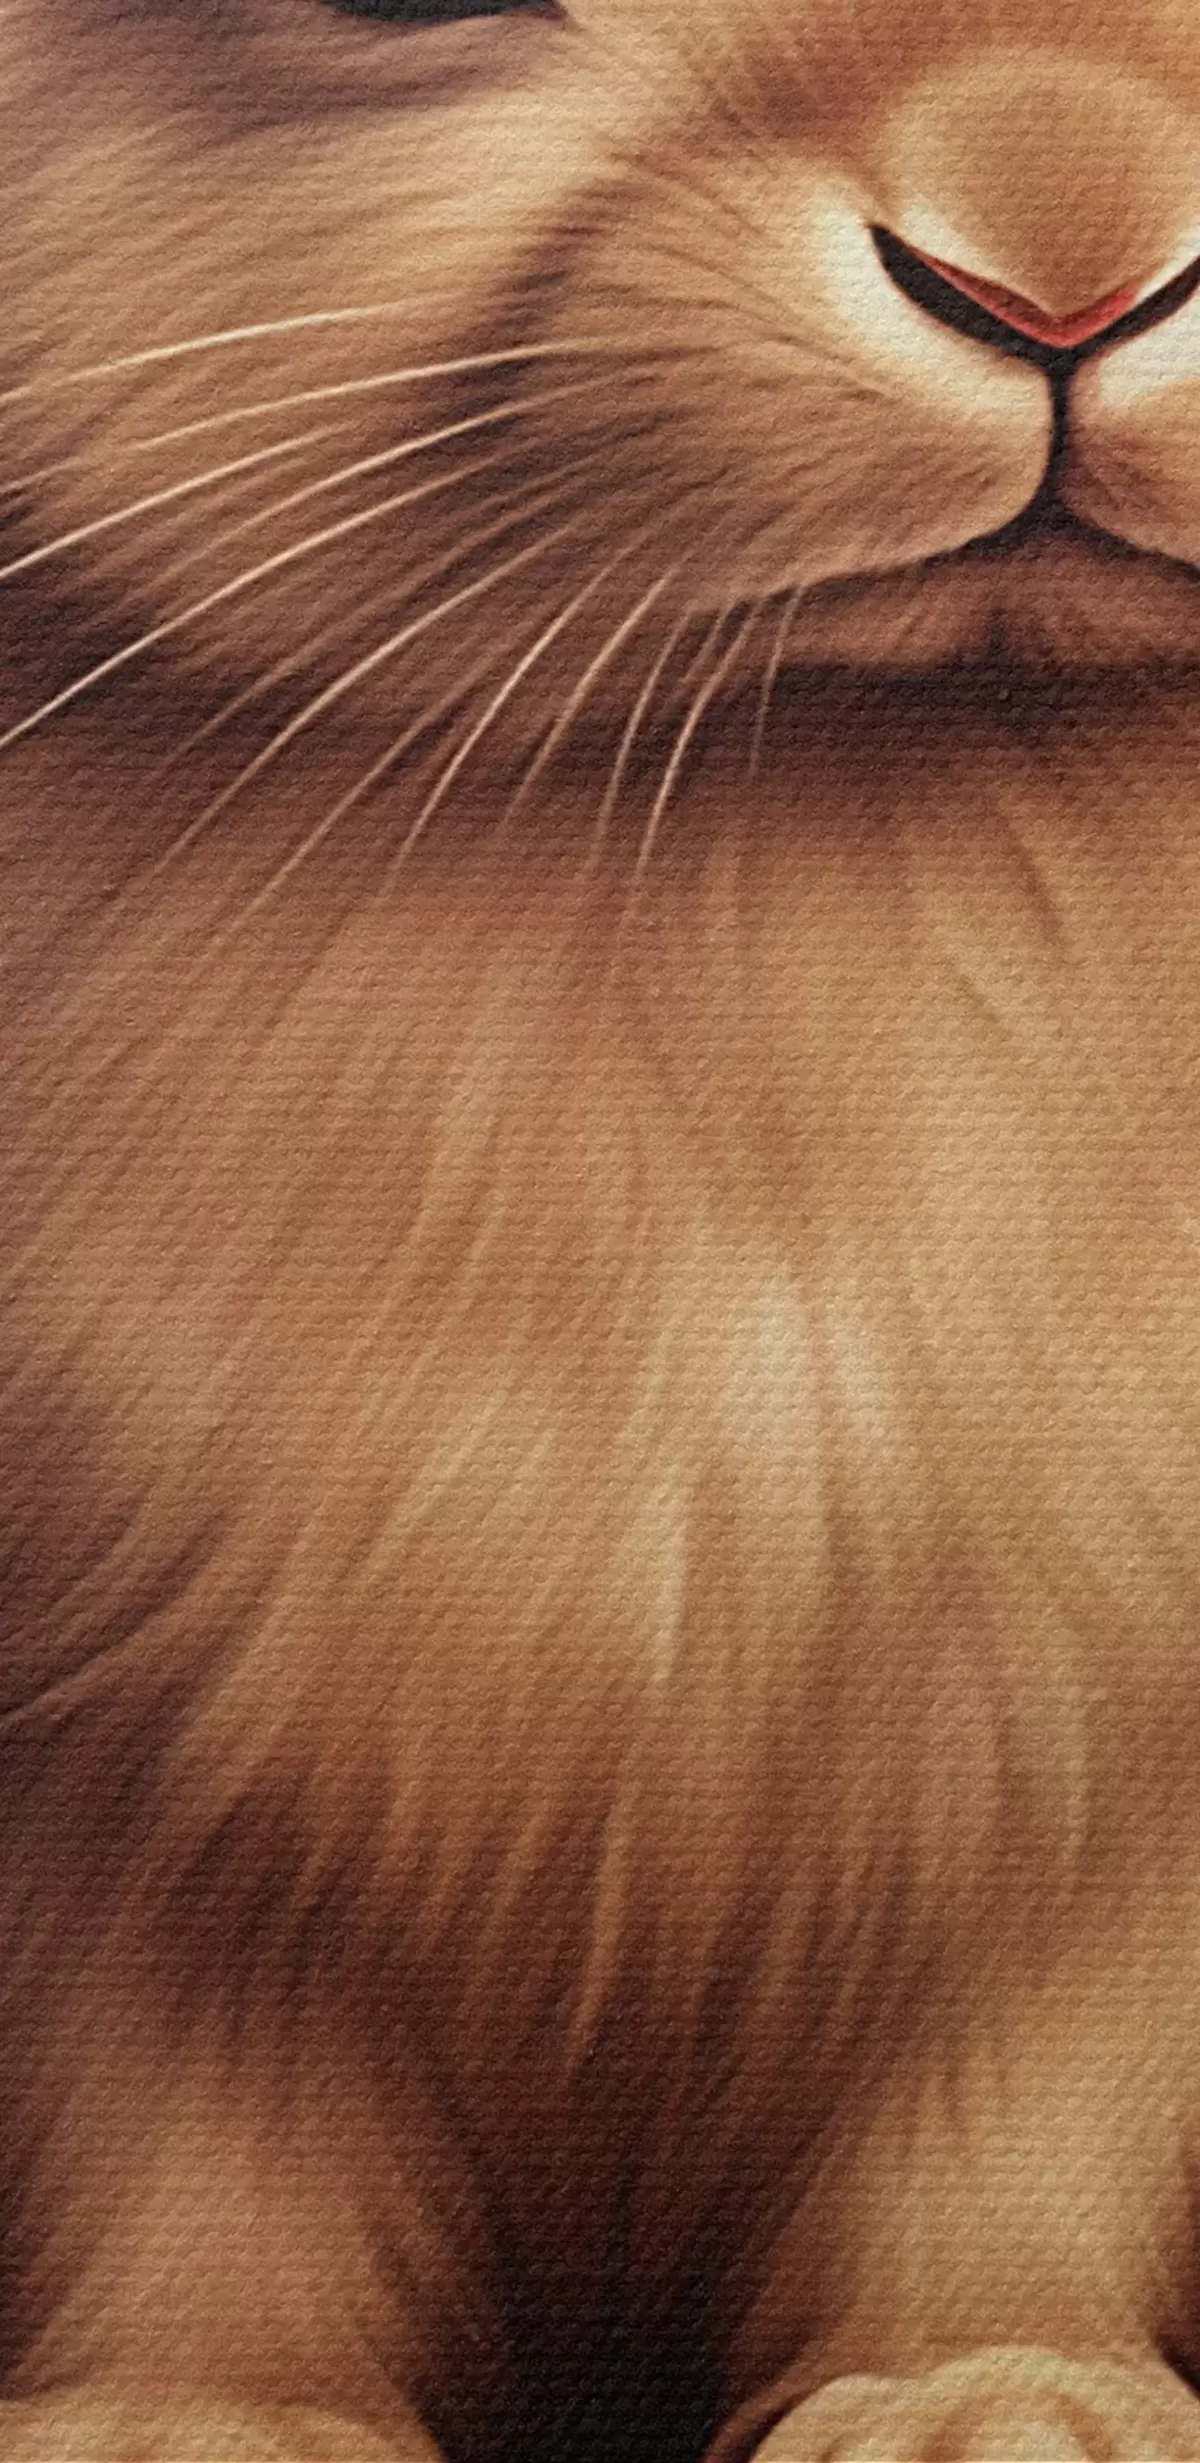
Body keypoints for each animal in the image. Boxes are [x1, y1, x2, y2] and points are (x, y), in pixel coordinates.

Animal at [4, 0, 1200, 2455]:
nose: (1064, 260)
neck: (836, 786)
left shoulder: (1089, 1787)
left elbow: (1036, 2094)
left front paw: (991, 2399)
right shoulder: (140, 1782)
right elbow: (174, 2108)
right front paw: (190, 2419)